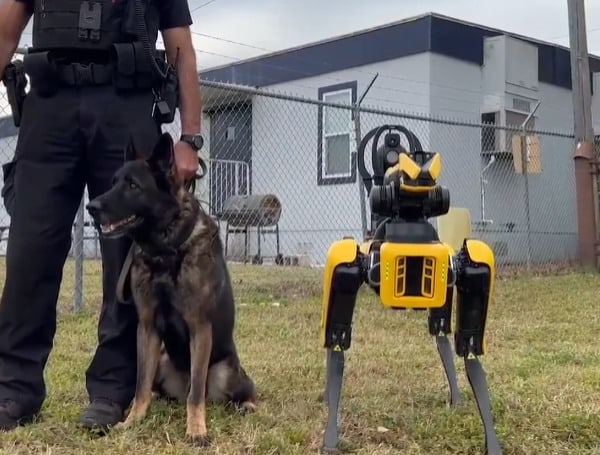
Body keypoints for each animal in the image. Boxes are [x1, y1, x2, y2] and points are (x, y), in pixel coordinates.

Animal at [84, 132, 255, 446]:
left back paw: (246, 405)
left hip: (226, 372)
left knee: (236, 391)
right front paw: (132, 421)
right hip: (162, 362)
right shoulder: (147, 328)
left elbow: (196, 393)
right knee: (158, 388)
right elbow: (140, 385)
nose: (92, 207)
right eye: (113, 182)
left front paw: (196, 429)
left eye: (133, 185)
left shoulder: (200, 329)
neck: (165, 252)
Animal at [318, 124, 502, 455]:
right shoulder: (346, 260)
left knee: (440, 327)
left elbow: (469, 348)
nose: (423, 176)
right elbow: (337, 339)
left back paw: (456, 397)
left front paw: (491, 440)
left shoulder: (466, 261)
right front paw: (330, 435)